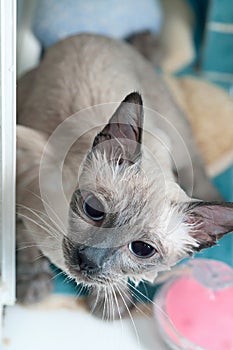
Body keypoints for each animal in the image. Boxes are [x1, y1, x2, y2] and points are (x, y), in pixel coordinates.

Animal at [16, 34, 233, 318]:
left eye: (142, 249)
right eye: (93, 210)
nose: (88, 260)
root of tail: (96, 36)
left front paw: (112, 301)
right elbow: (22, 237)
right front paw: (32, 283)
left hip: (177, 138)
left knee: (196, 169)